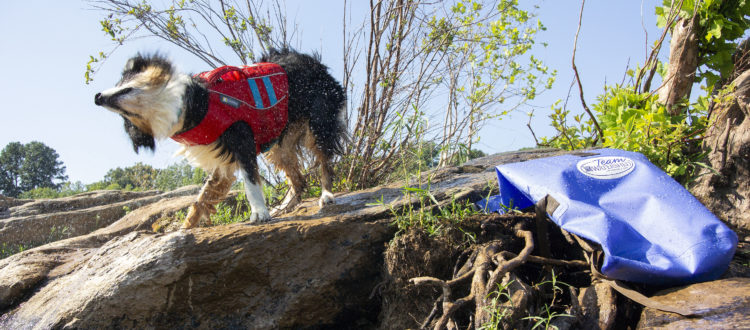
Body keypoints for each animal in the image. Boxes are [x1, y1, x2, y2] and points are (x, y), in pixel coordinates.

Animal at [94, 49, 350, 228]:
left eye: (124, 88)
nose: (97, 97)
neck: (197, 102)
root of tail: (315, 64)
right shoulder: (219, 157)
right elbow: (202, 197)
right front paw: (185, 227)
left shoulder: (241, 137)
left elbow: (250, 182)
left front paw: (259, 213)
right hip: (280, 142)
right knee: (298, 180)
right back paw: (284, 206)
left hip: (318, 123)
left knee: (324, 162)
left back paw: (326, 196)